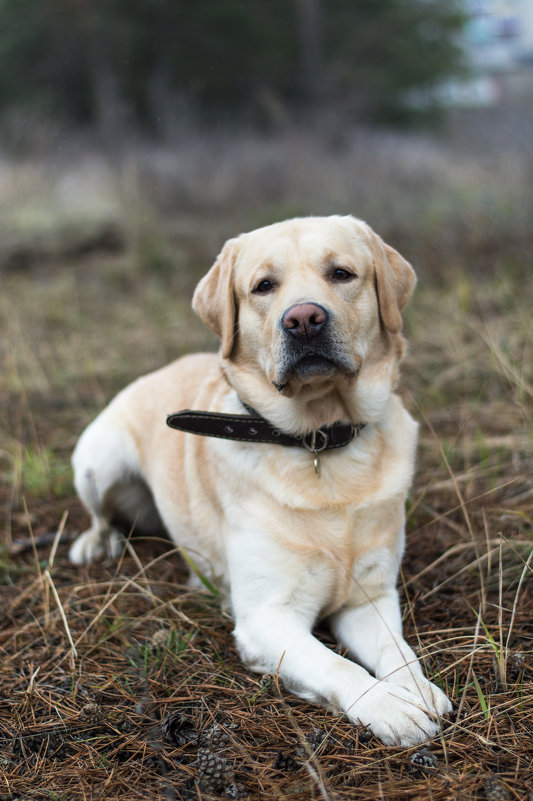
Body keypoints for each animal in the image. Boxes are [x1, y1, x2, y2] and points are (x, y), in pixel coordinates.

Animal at [70, 217, 450, 744]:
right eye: (263, 286)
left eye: (342, 273)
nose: (305, 319)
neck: (318, 442)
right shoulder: (268, 618)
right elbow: (339, 666)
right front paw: (391, 706)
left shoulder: (370, 597)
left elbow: (397, 650)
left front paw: (417, 689)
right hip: (97, 459)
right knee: (99, 515)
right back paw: (94, 544)